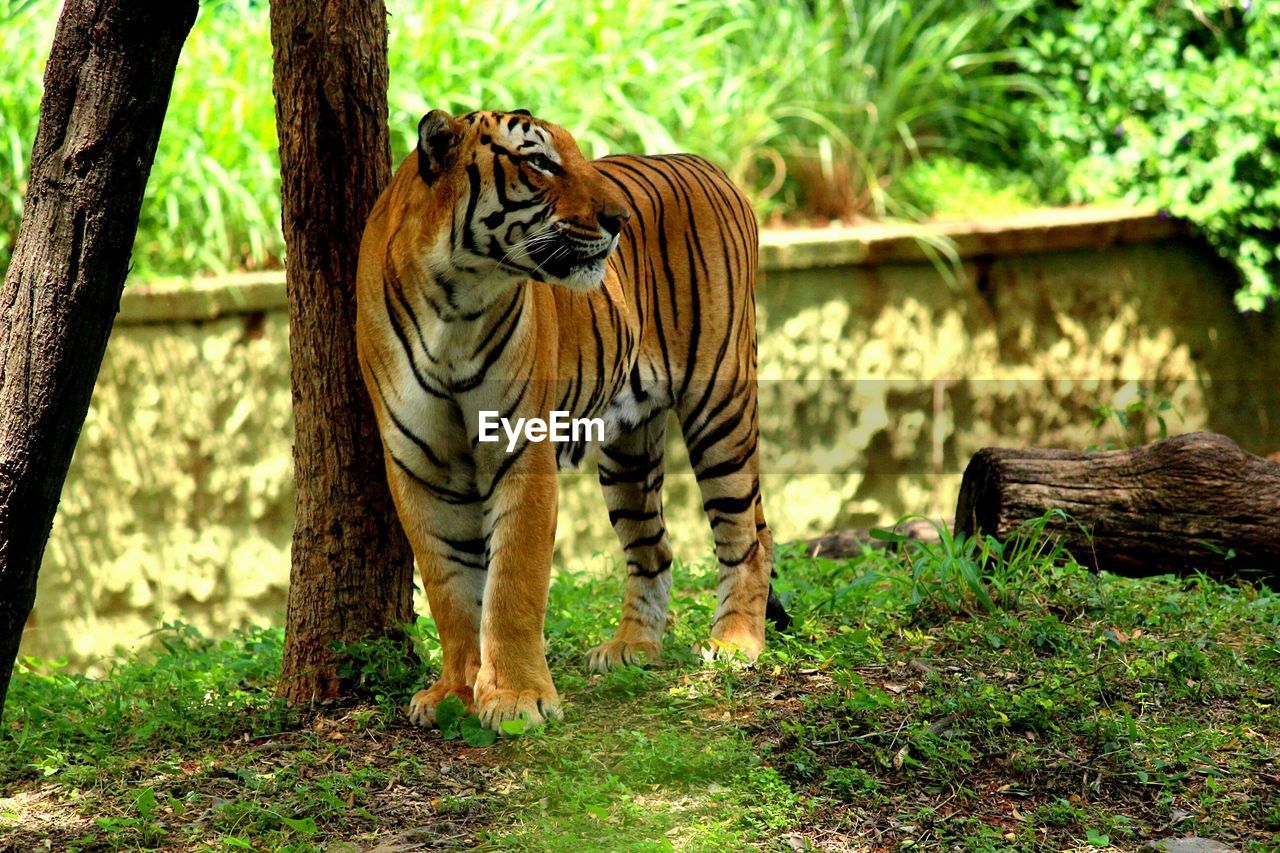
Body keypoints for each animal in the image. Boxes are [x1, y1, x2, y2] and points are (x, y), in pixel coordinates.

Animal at [355, 108, 783, 732]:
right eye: (540, 162)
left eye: (577, 156)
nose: (619, 220)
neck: (454, 301)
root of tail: (705, 163)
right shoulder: (419, 467)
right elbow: (449, 588)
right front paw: (455, 692)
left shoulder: (519, 450)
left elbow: (513, 581)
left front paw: (516, 698)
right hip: (628, 452)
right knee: (653, 549)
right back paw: (632, 647)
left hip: (720, 403)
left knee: (748, 534)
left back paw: (734, 643)